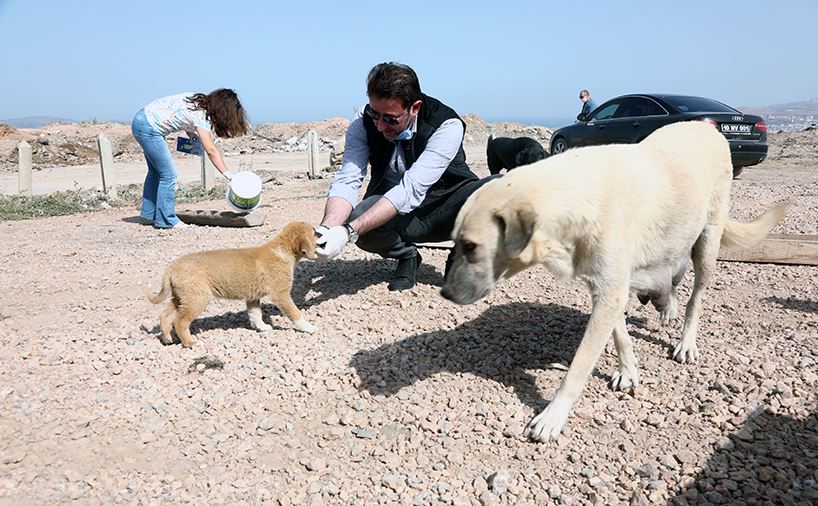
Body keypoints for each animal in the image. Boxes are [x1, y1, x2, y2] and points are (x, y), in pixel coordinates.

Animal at [147, 221, 316, 348]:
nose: (321, 236)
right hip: (197, 298)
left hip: (181, 298)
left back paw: (167, 338)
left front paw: (262, 327)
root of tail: (171, 267)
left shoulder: (253, 298)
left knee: (165, 315)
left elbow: (256, 314)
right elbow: (295, 313)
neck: (281, 250)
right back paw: (190, 343)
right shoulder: (281, 295)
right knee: (180, 321)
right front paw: (308, 328)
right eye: (315, 233)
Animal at [440, 120, 784, 440]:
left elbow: (579, 366)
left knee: (696, 297)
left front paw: (553, 416)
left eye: (470, 246)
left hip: (708, 243)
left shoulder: (610, 290)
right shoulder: (605, 287)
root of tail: (706, 126)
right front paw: (628, 371)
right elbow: (621, 334)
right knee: (672, 278)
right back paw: (667, 308)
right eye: (455, 241)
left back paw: (686, 342)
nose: (445, 293)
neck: (577, 196)